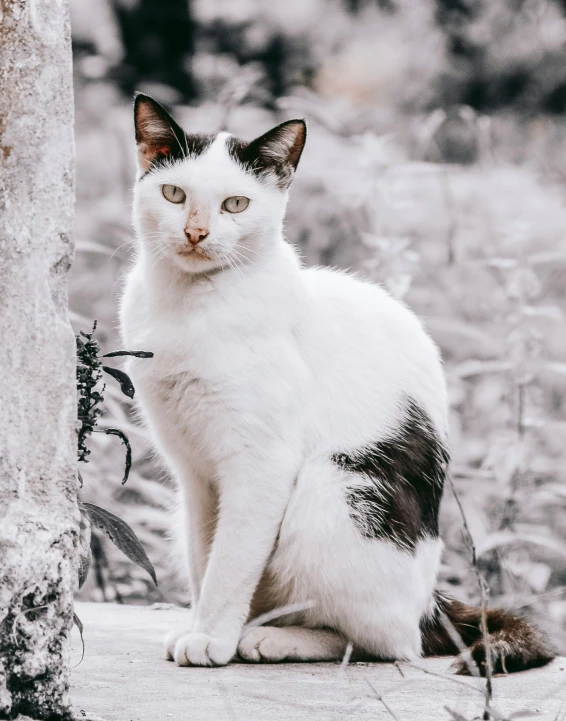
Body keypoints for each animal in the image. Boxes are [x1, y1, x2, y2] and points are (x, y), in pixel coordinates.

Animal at [120, 93, 556, 672]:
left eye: (235, 204)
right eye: (174, 194)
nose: (195, 232)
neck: (188, 307)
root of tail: (428, 603)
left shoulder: (262, 462)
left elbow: (231, 562)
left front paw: (211, 638)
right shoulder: (194, 473)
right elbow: (204, 557)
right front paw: (202, 626)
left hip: (332, 493)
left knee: (386, 642)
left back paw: (273, 639)